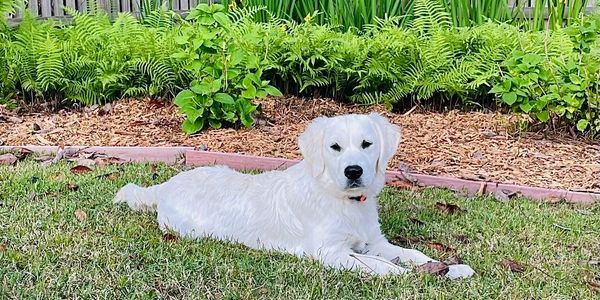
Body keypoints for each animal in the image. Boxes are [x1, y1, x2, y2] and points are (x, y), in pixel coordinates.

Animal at [115, 112, 476, 278]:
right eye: (335, 147)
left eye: (367, 144)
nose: (354, 171)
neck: (341, 201)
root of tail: (168, 184)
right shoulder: (331, 252)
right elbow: (387, 268)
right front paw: (425, 280)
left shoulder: (374, 241)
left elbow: (412, 254)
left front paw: (453, 269)